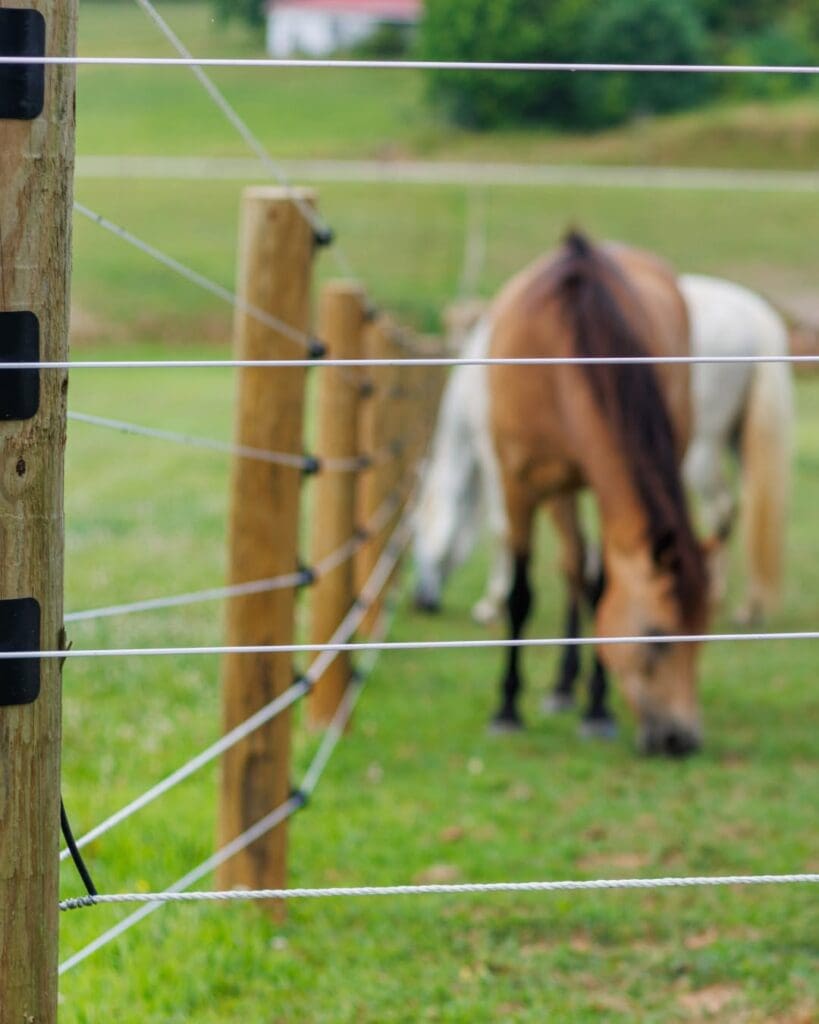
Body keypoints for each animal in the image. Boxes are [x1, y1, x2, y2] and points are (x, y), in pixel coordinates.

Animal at [484, 231, 709, 756]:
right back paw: (563, 687)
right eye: (657, 638)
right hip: (559, 490)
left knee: (583, 572)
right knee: (571, 564)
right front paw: (507, 710)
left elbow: (604, 587)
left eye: (704, 638)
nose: (680, 739)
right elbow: (521, 594)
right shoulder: (519, 482)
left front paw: (598, 710)